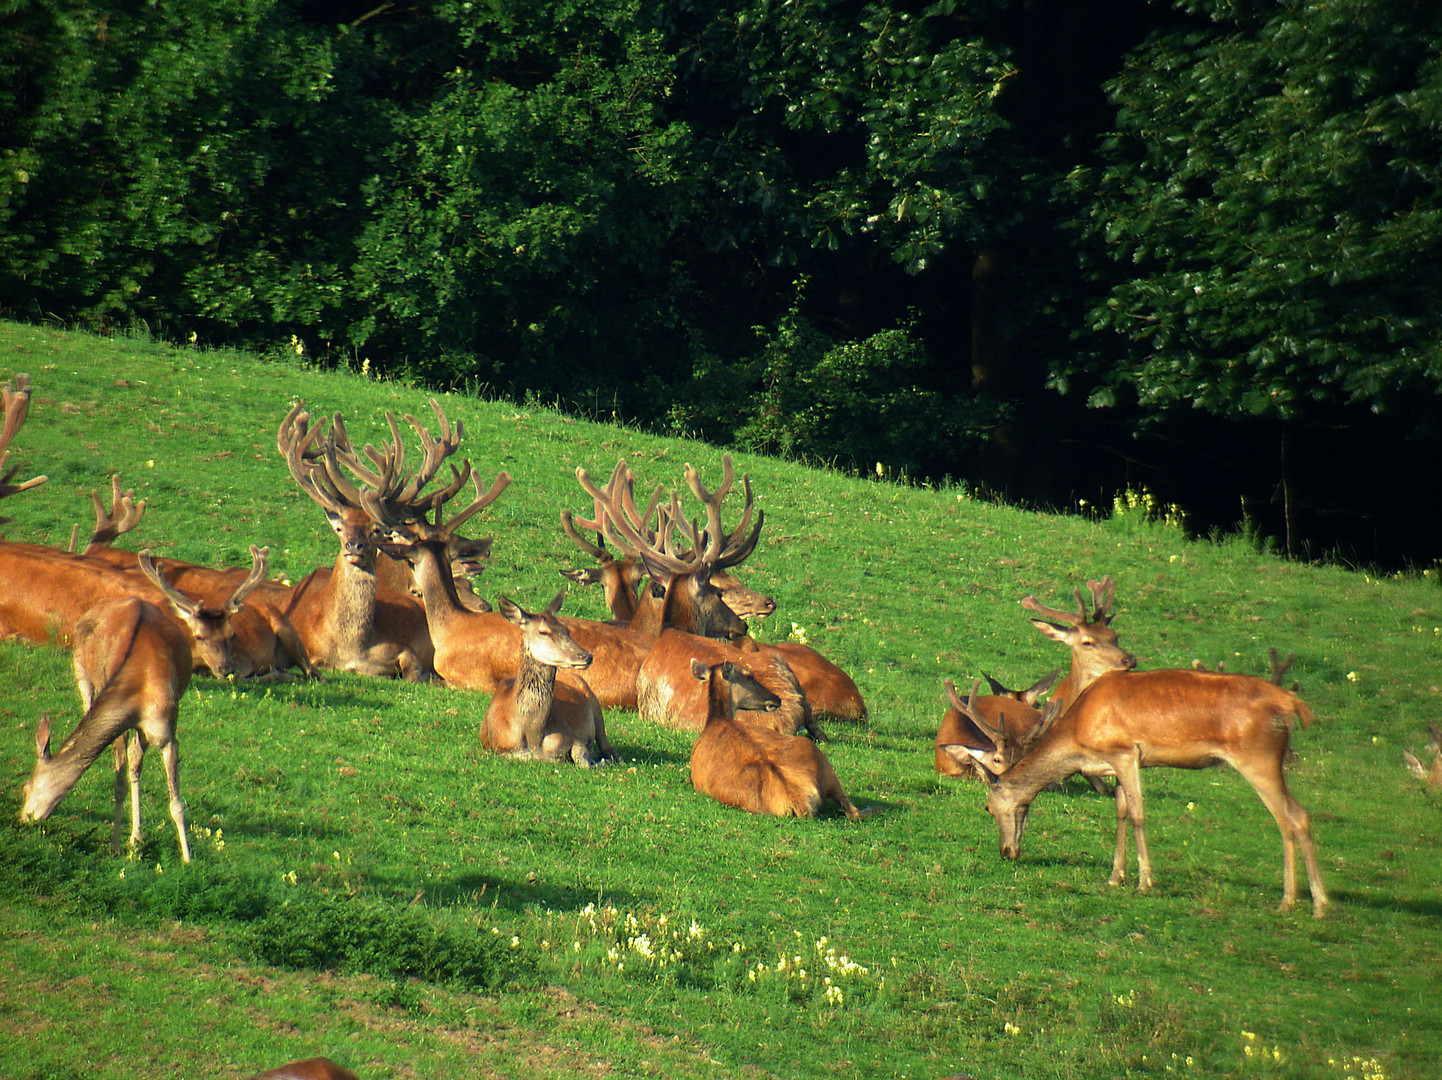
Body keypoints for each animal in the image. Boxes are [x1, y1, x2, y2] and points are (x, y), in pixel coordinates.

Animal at [481, 591, 611, 767]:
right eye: (543, 631)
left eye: (567, 629)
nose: (586, 656)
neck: (533, 736)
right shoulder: (501, 746)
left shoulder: (571, 737)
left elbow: (581, 755)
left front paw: (597, 760)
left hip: (594, 701)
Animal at [980, 669, 1326, 917]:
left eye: (989, 808)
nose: (1007, 851)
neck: (1079, 734)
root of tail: (1293, 705)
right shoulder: (1115, 764)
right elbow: (1120, 812)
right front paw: (1115, 876)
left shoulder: (1125, 753)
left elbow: (1137, 814)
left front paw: (1144, 881)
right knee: (1300, 815)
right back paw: (1315, 901)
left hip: (1259, 758)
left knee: (1289, 818)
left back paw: (1297, 901)